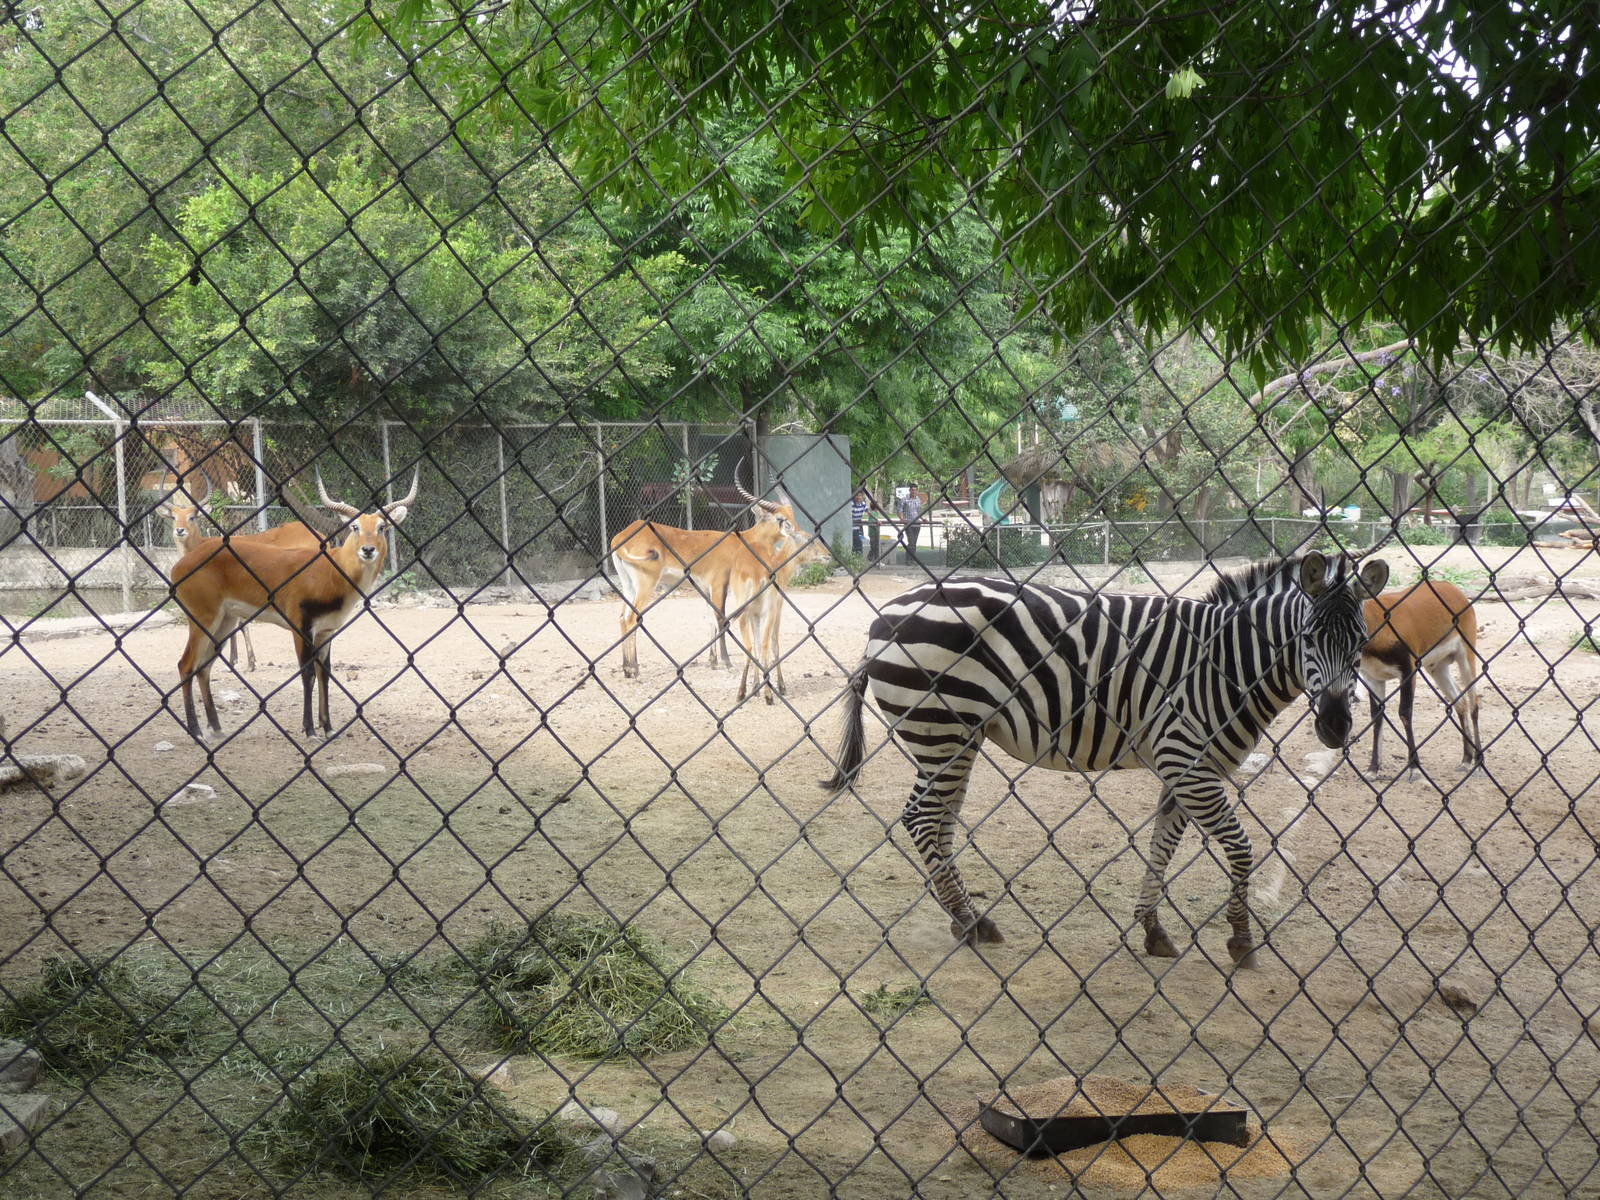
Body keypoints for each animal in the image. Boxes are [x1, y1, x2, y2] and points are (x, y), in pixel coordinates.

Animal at [821, 551, 1389, 966]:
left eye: (1362, 641)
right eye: (1308, 637)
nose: (1336, 727)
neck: (1226, 662)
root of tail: (888, 611)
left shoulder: (1186, 768)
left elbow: (1162, 845)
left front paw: (1153, 930)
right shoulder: (1187, 761)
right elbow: (1242, 849)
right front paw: (1241, 940)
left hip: (954, 738)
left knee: (936, 821)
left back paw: (965, 919)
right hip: (940, 730)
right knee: (921, 818)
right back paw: (970, 918)